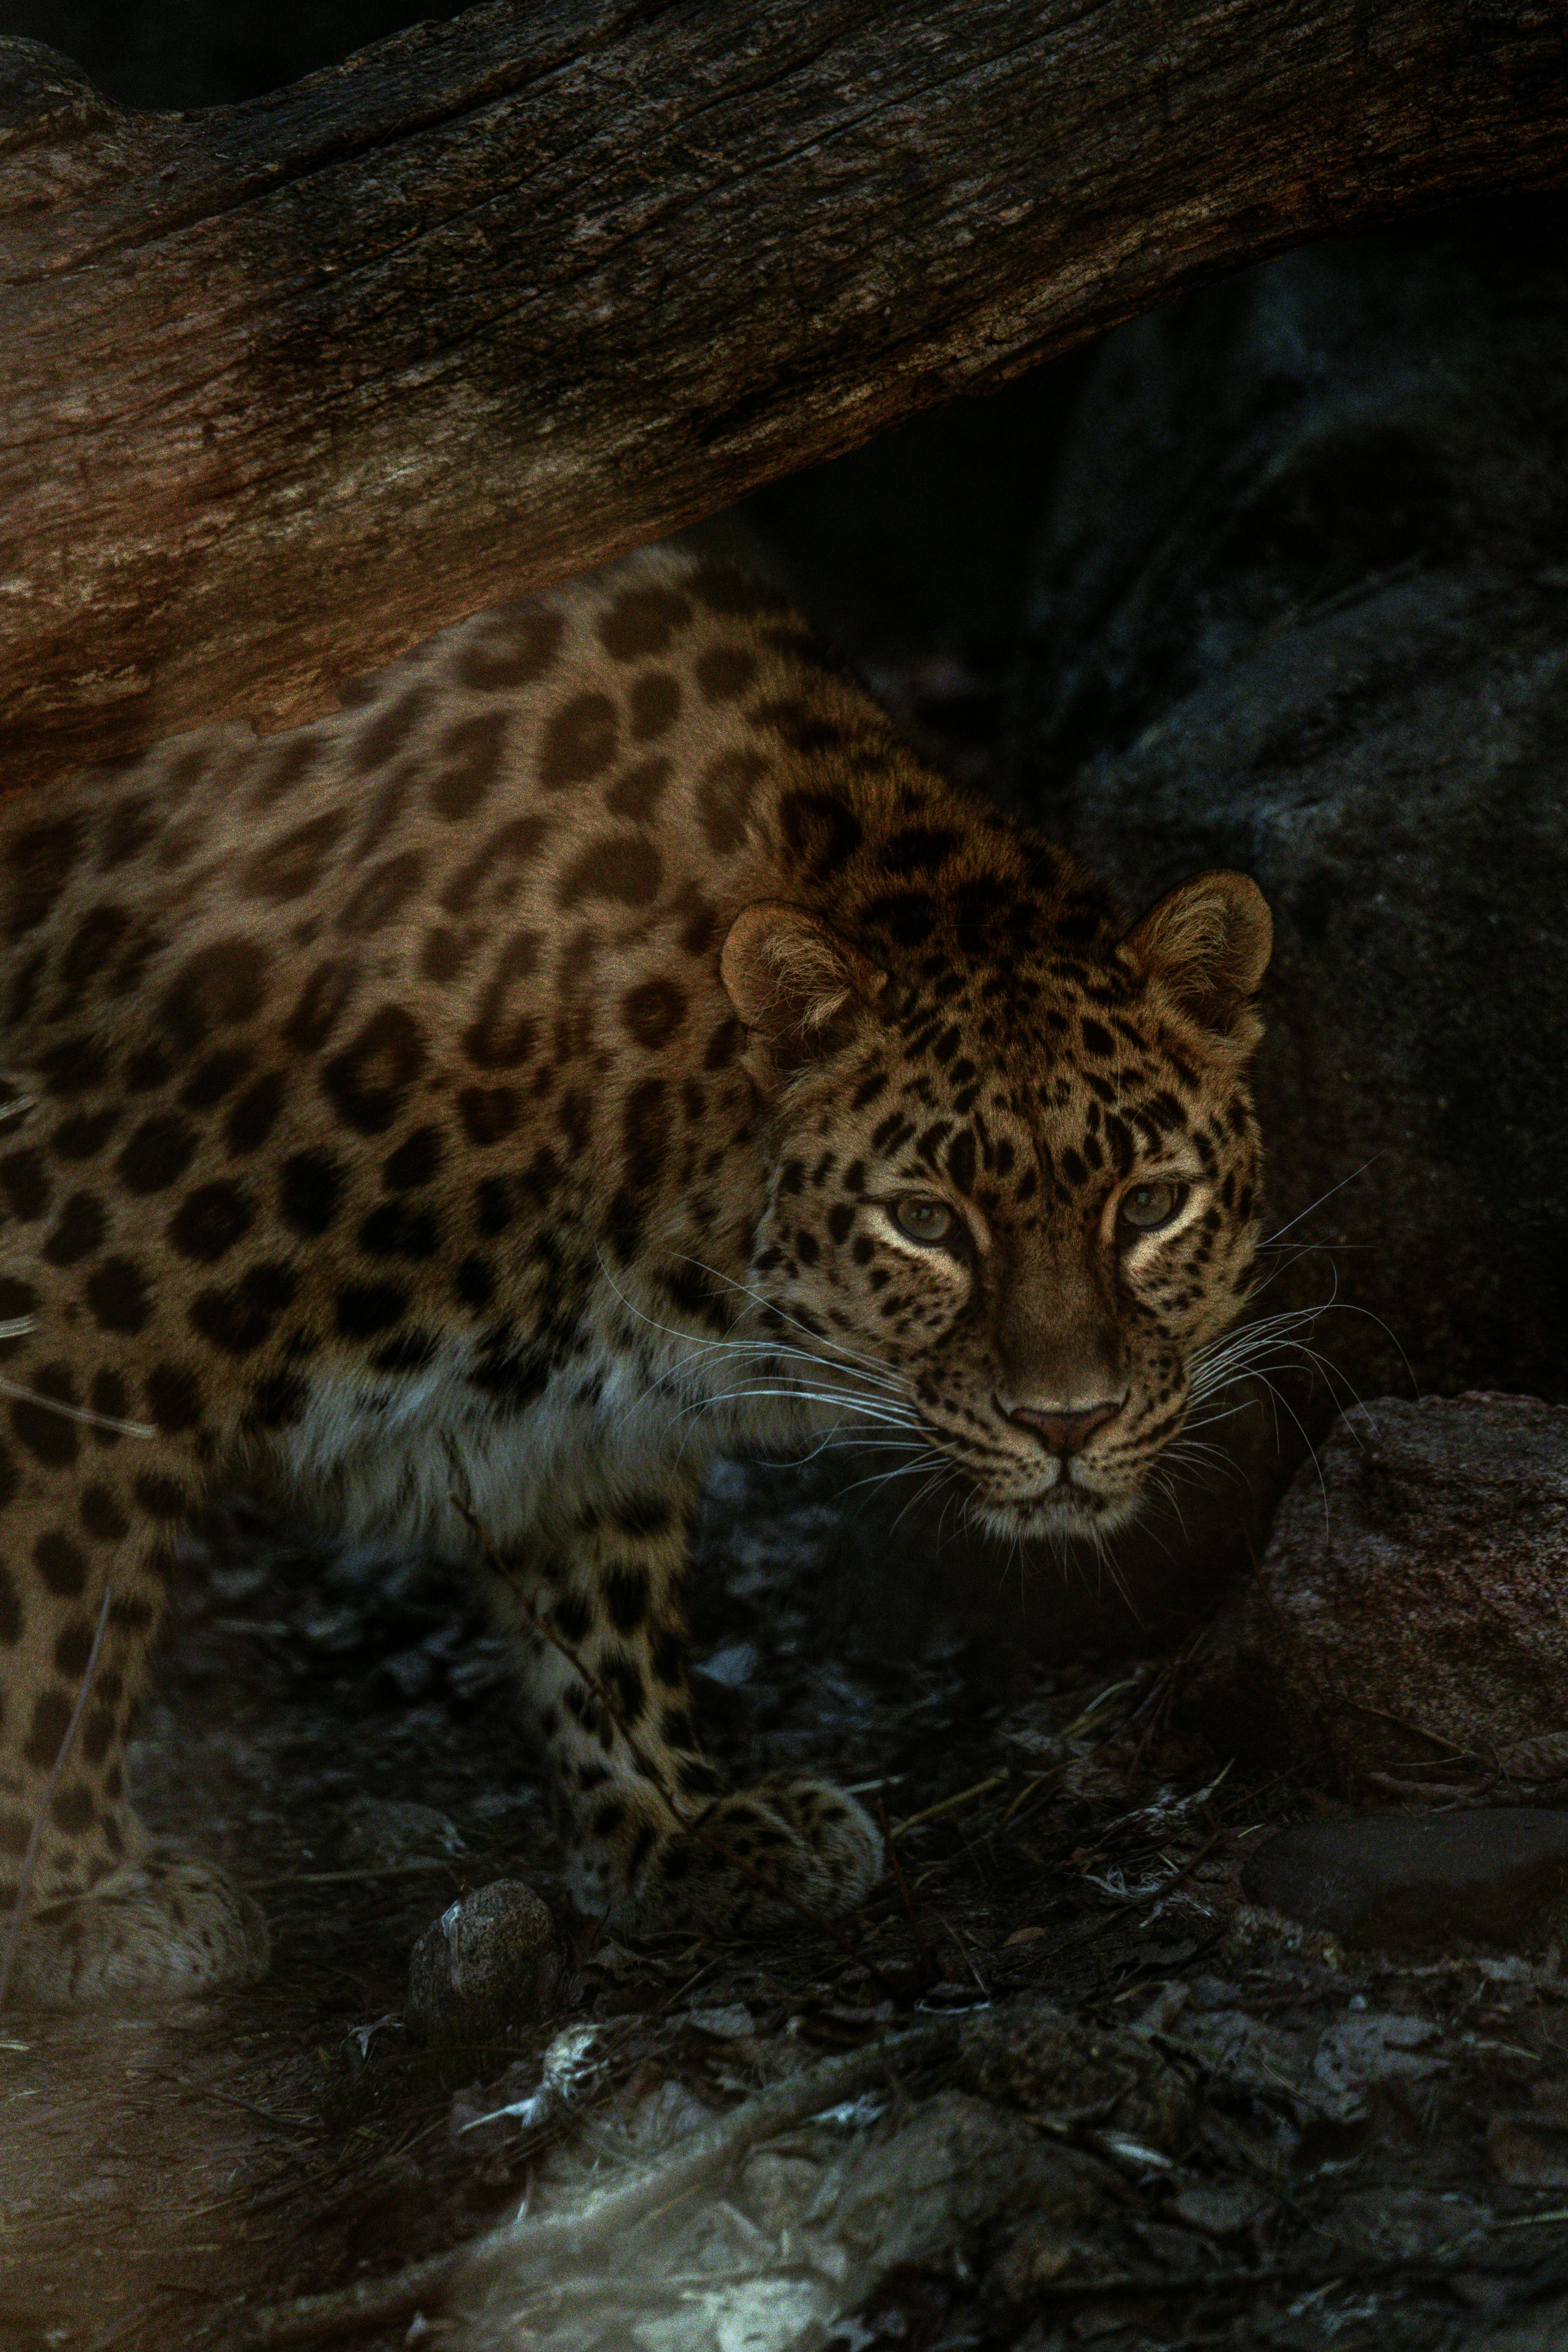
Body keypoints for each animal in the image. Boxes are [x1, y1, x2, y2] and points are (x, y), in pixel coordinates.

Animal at [0, 546, 1271, 2004]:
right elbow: (57, 1612)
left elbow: (604, 1600)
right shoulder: (75, 1273)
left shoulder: (580, 1413)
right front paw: (77, 1894)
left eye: (1153, 1205)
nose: (1069, 1422)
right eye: (925, 1222)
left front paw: (677, 1821)